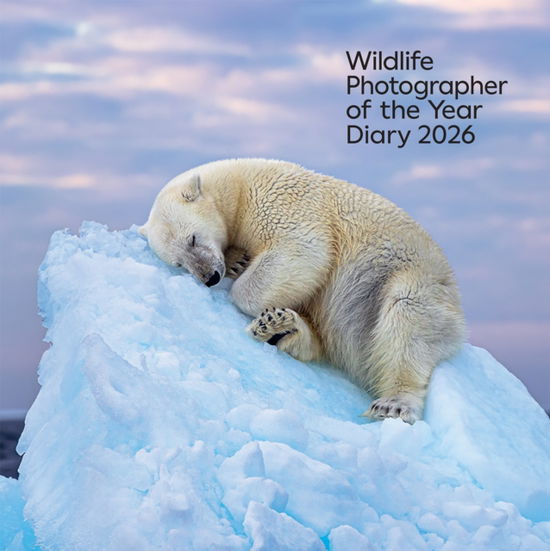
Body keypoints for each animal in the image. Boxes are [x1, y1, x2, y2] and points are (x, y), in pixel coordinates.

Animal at [139, 157, 466, 424]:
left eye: (193, 239)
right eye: (179, 263)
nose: (209, 277)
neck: (239, 186)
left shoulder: (282, 202)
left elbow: (303, 250)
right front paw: (237, 261)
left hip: (407, 279)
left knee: (406, 320)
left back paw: (393, 403)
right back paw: (281, 328)